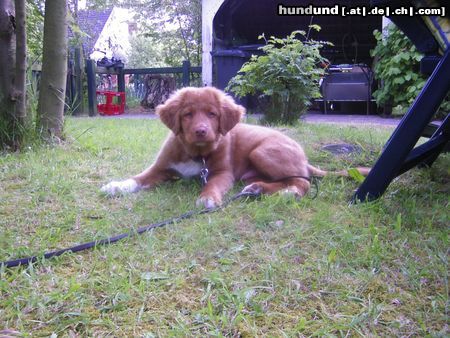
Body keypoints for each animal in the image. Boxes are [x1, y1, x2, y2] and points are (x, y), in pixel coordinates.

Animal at [102, 86, 370, 209]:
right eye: (188, 115)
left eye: (212, 114)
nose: (201, 131)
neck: (196, 153)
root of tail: (304, 157)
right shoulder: (160, 168)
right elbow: (138, 178)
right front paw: (116, 186)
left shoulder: (223, 173)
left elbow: (212, 184)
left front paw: (207, 197)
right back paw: (258, 189)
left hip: (262, 152)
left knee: (302, 183)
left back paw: (287, 194)